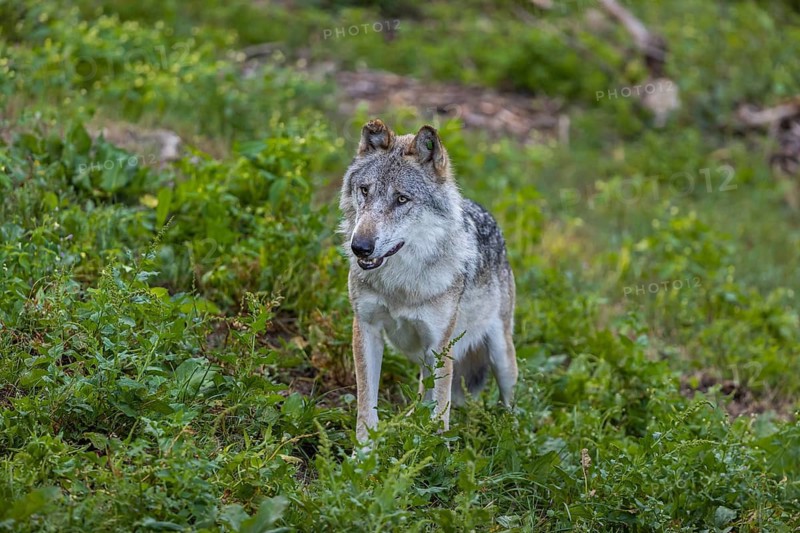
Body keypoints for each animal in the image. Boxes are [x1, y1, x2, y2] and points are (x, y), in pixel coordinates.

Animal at [339, 119, 517, 443]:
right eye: (365, 191)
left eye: (401, 199)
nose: (360, 247)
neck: (400, 285)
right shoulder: (366, 330)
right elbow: (366, 409)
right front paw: (363, 452)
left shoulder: (440, 345)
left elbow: (440, 418)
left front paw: (435, 451)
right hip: (426, 359)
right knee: (423, 399)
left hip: (500, 357)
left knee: (509, 403)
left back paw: (511, 435)